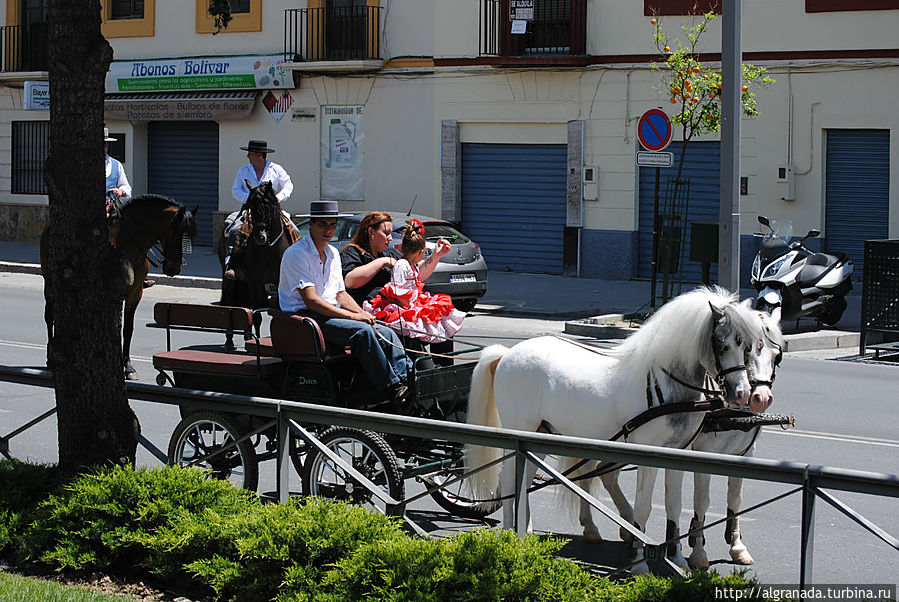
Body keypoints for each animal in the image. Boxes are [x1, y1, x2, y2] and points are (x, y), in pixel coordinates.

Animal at [41, 195, 199, 378]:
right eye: (175, 233)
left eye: (190, 236)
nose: (173, 268)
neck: (128, 243)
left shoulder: (135, 293)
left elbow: (128, 329)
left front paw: (128, 366)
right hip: (50, 283)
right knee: (49, 315)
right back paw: (51, 358)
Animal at [468, 286, 768, 572]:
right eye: (720, 343)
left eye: (749, 346)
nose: (743, 394)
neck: (662, 383)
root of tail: (508, 353)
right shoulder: (648, 455)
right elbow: (643, 508)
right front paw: (640, 562)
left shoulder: (679, 454)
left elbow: (674, 505)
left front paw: (678, 559)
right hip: (520, 433)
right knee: (510, 482)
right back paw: (511, 537)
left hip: (539, 437)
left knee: (524, 479)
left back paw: (525, 533)